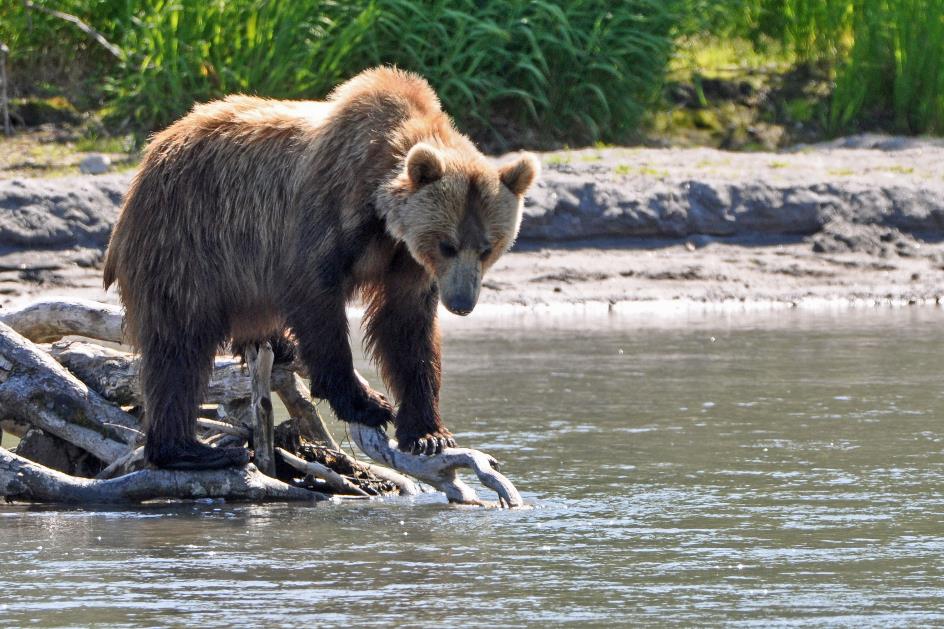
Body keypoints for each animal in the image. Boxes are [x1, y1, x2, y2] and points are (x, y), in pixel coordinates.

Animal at [102, 70, 540, 472]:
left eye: (487, 248)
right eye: (447, 243)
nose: (463, 303)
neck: (381, 213)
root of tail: (151, 154)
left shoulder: (407, 260)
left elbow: (407, 327)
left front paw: (428, 433)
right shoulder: (326, 211)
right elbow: (315, 299)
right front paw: (368, 402)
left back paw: (274, 347)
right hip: (186, 237)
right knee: (179, 344)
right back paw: (189, 450)